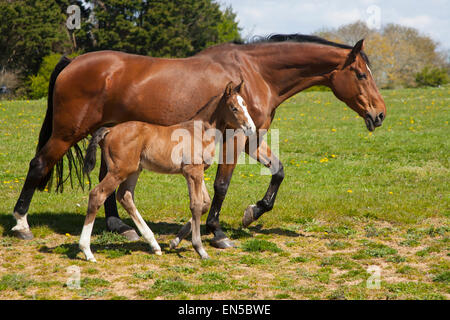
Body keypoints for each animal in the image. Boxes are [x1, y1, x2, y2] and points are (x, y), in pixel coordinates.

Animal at [77, 80, 253, 260]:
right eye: (234, 108)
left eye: (245, 105)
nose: (250, 127)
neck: (199, 132)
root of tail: (110, 130)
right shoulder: (193, 172)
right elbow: (196, 205)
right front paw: (200, 249)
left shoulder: (197, 172)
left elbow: (204, 203)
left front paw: (174, 242)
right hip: (118, 171)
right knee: (97, 194)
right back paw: (87, 251)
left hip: (134, 170)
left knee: (125, 196)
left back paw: (154, 244)